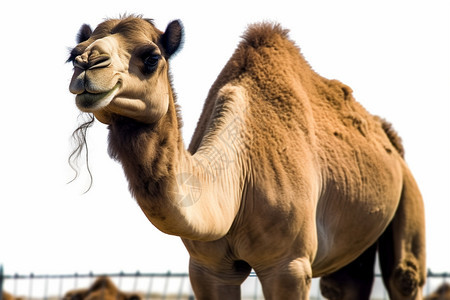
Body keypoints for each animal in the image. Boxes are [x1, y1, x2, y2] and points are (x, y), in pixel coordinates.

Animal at [67, 15, 426, 298]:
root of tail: (391, 144)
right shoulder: (208, 268)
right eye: (72, 55)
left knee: (404, 277)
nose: (88, 64)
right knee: (346, 283)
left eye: (151, 56)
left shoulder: (289, 265)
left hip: (409, 192)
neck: (239, 177)